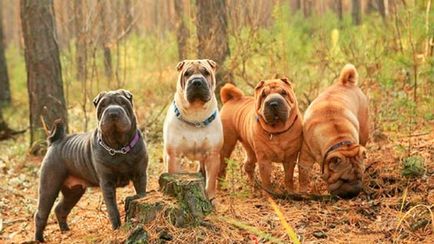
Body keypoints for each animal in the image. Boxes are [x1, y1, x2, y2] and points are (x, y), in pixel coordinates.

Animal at [34, 89, 149, 242]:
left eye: (123, 103)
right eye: (103, 105)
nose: (113, 112)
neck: (119, 148)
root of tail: (56, 141)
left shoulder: (140, 175)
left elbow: (141, 192)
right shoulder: (107, 183)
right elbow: (112, 208)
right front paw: (117, 228)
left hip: (73, 192)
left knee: (60, 209)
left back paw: (65, 231)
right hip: (49, 186)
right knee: (41, 213)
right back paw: (39, 239)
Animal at [164, 58, 224, 201]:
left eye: (206, 72)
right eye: (187, 74)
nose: (196, 81)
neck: (196, 114)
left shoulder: (212, 155)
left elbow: (211, 182)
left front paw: (210, 198)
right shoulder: (173, 156)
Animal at [298, 63, 370, 198]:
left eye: (360, 176)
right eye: (343, 179)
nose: (354, 191)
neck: (339, 139)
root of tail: (345, 82)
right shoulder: (305, 155)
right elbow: (303, 175)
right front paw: (303, 192)